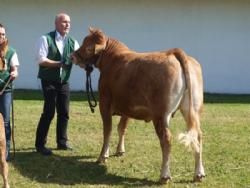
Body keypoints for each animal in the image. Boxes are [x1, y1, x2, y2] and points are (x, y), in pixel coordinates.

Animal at [72, 28, 205, 184]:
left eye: (88, 46)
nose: (72, 56)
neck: (112, 59)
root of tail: (173, 52)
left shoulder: (104, 103)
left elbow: (108, 130)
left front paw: (102, 156)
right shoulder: (127, 108)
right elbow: (121, 128)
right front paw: (120, 150)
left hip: (160, 114)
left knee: (166, 138)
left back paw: (164, 175)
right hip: (192, 109)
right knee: (198, 135)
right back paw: (198, 174)